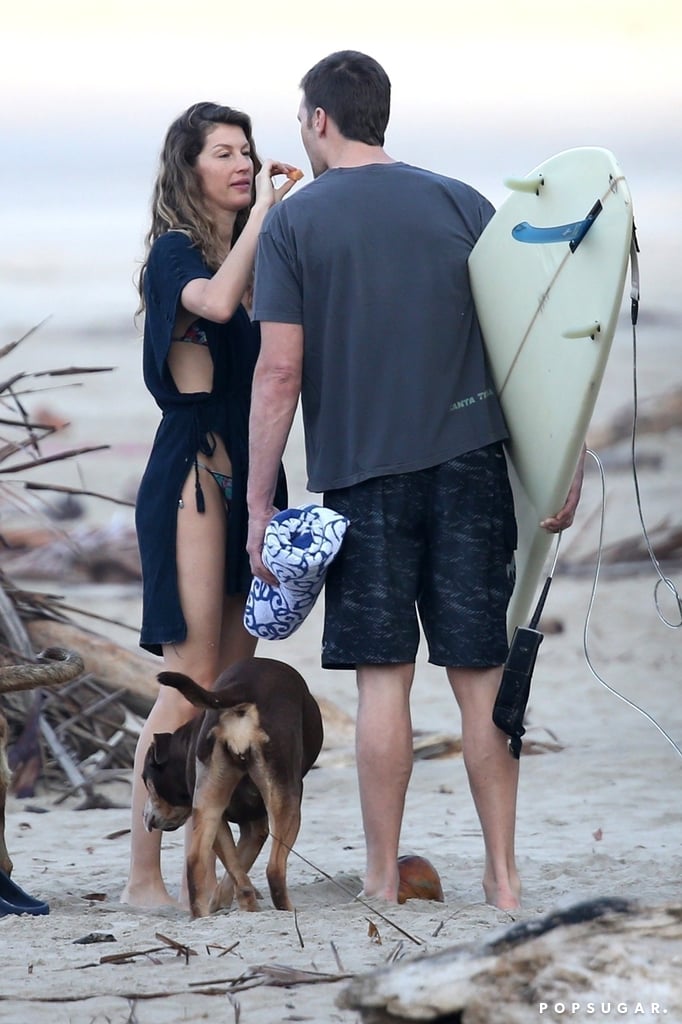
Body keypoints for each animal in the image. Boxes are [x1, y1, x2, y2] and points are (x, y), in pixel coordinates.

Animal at [140, 659, 321, 917]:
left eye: (146, 781)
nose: (145, 817)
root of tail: (242, 688)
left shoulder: (242, 825)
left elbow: (236, 872)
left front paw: (232, 905)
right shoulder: (257, 828)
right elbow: (239, 870)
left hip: (209, 804)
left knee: (195, 860)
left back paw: (201, 917)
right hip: (287, 799)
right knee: (275, 869)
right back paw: (287, 909)